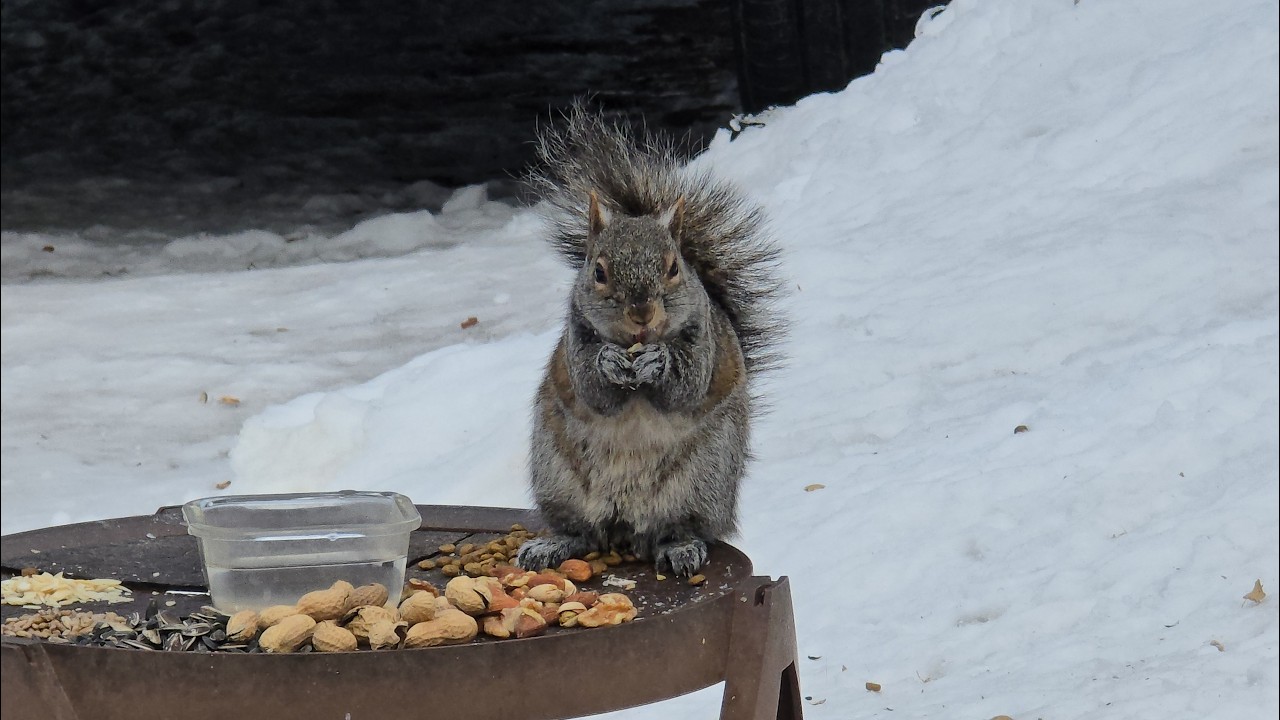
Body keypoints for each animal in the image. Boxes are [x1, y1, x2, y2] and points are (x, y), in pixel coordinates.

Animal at [515, 105, 784, 577]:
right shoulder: (575, 341)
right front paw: (608, 361)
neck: (633, 344)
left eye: (674, 267)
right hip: (557, 477)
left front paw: (659, 360)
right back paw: (554, 544)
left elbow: (686, 386)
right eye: (598, 271)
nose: (642, 313)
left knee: (679, 528)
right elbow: (593, 389)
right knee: (583, 533)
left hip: (703, 480)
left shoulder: (703, 341)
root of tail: (625, 525)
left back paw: (681, 547)